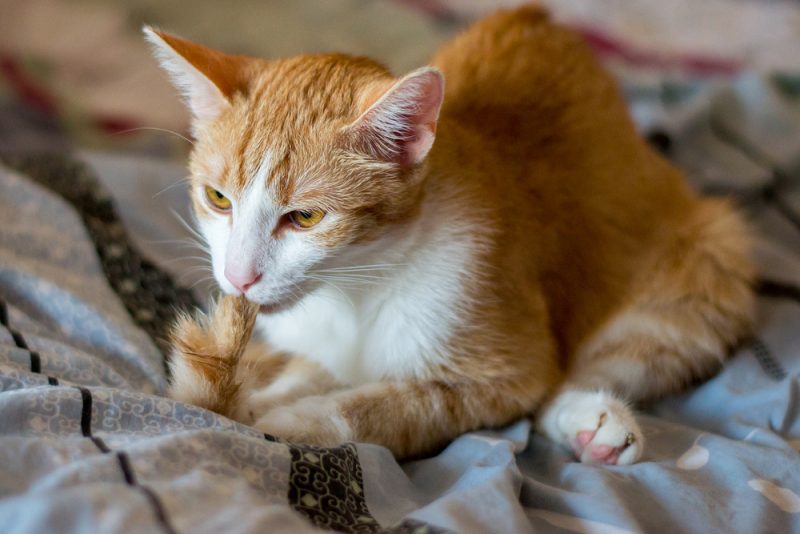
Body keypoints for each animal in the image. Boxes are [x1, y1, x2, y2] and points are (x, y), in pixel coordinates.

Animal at [145, 5, 756, 464]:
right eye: (218, 199)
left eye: (306, 218)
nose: (239, 278)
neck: (354, 290)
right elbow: (304, 369)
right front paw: (258, 394)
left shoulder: (504, 364)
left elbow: (397, 407)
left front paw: (288, 419)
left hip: (708, 256)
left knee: (609, 357)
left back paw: (594, 422)